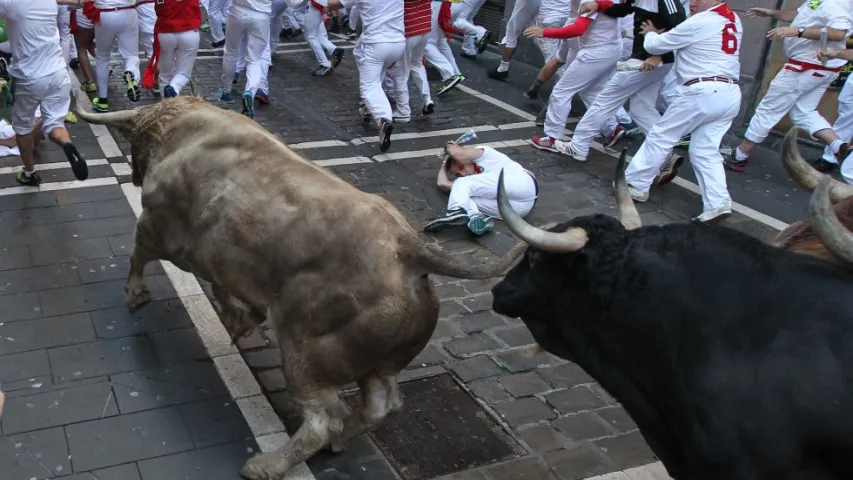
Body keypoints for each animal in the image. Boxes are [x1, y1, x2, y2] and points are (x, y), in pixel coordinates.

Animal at [73, 94, 524, 480]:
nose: (135, 173)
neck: (182, 132)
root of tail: (408, 250)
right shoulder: (221, 262)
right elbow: (224, 291)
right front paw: (237, 323)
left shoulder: (157, 226)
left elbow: (138, 255)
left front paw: (136, 295)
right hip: (378, 362)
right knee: (382, 405)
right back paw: (339, 444)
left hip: (305, 354)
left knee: (323, 420)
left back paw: (266, 465)